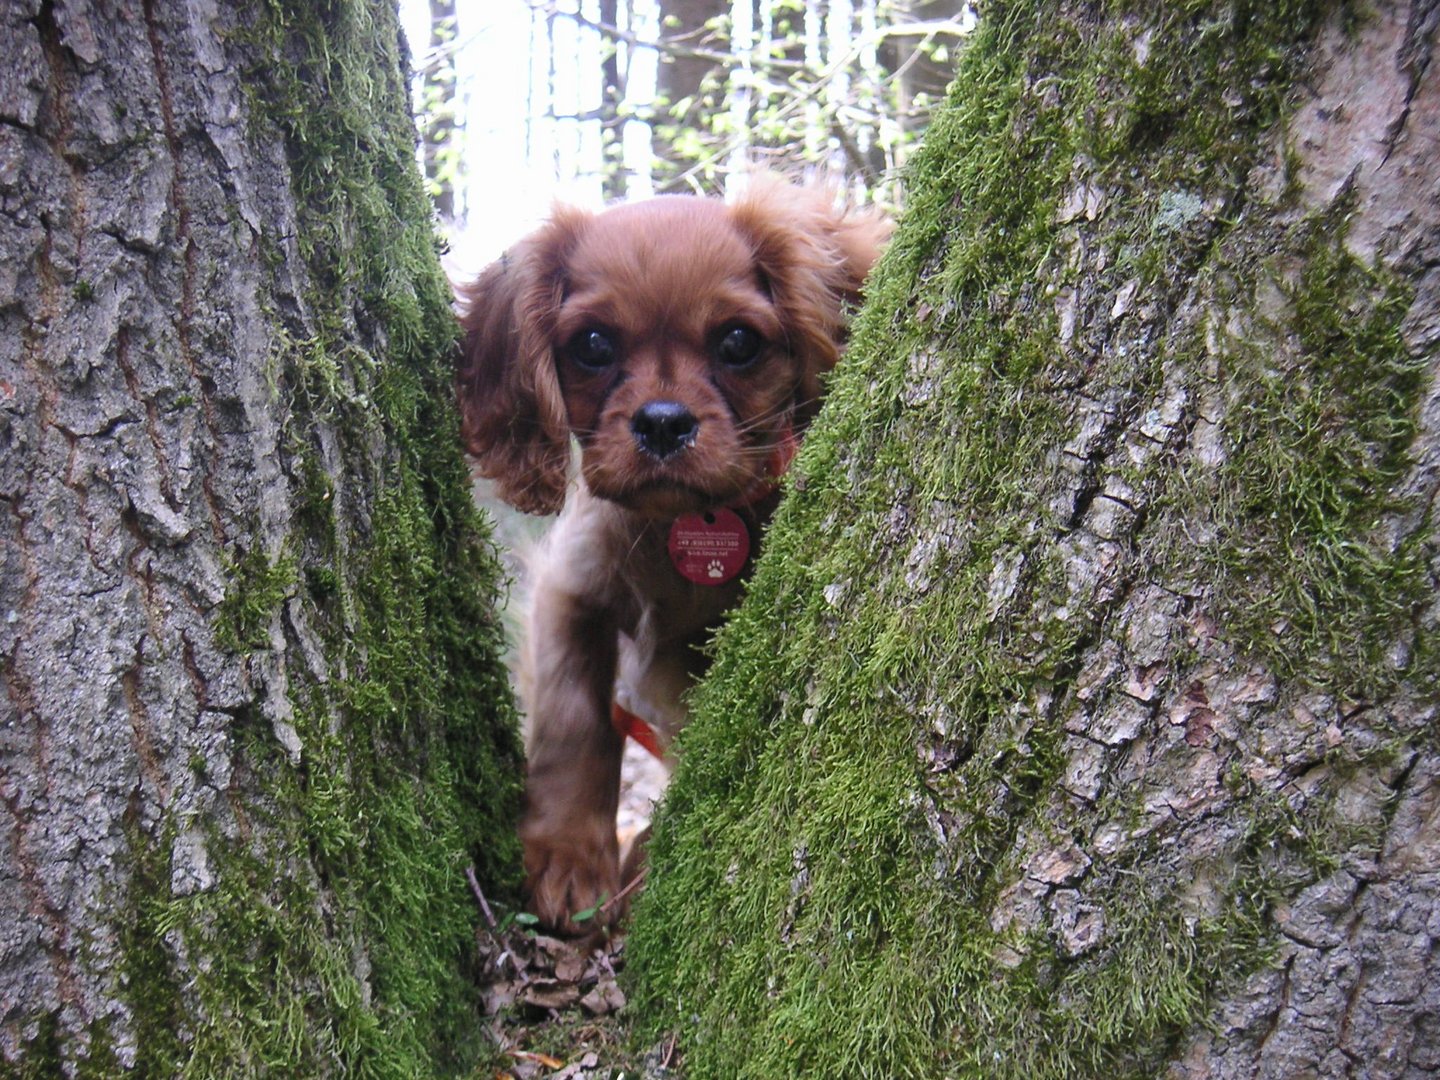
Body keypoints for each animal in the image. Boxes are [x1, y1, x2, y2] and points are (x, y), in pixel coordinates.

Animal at [460, 180, 887, 938]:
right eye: (592, 345)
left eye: (739, 342)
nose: (663, 423)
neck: (677, 527)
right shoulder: (572, 590)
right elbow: (574, 718)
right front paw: (568, 858)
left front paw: (643, 863)